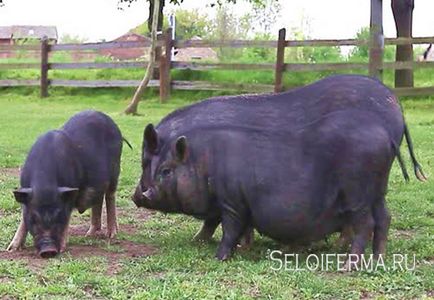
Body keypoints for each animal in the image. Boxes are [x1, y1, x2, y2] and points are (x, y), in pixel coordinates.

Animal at [7, 110, 125, 258]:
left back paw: (111, 235)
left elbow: (67, 218)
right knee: (98, 200)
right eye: (34, 218)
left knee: (110, 197)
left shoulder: (71, 193)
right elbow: (23, 221)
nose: (48, 250)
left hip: (116, 171)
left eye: (59, 215)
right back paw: (89, 235)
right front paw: (11, 249)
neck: (45, 184)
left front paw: (62, 249)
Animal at [131, 75, 424, 262]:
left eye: (146, 161)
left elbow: (215, 219)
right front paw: (209, 242)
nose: (136, 196)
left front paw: (212, 244)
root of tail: (395, 103)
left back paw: (344, 253)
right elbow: (218, 219)